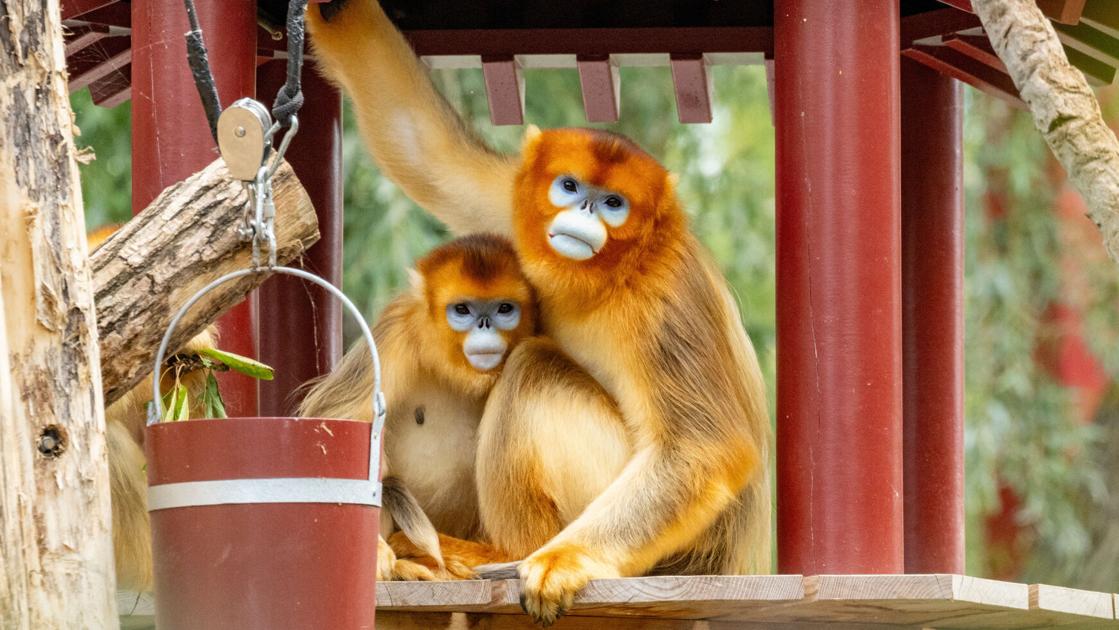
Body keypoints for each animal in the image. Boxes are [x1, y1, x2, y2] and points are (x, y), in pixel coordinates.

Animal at [307, 3, 772, 625]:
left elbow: (703, 449)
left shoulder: (665, 297)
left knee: (532, 369)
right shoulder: (513, 205)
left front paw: (567, 561)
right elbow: (422, 145)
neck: (605, 277)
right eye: (570, 187)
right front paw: (333, 12)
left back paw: (503, 551)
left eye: (613, 203)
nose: (584, 216)